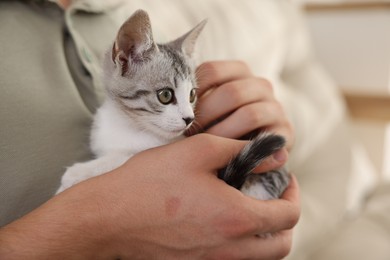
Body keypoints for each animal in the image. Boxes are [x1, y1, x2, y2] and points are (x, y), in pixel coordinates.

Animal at [57, 9, 290, 198]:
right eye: (166, 95)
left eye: (192, 95)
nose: (189, 119)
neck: (127, 125)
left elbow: (124, 157)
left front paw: (76, 173)